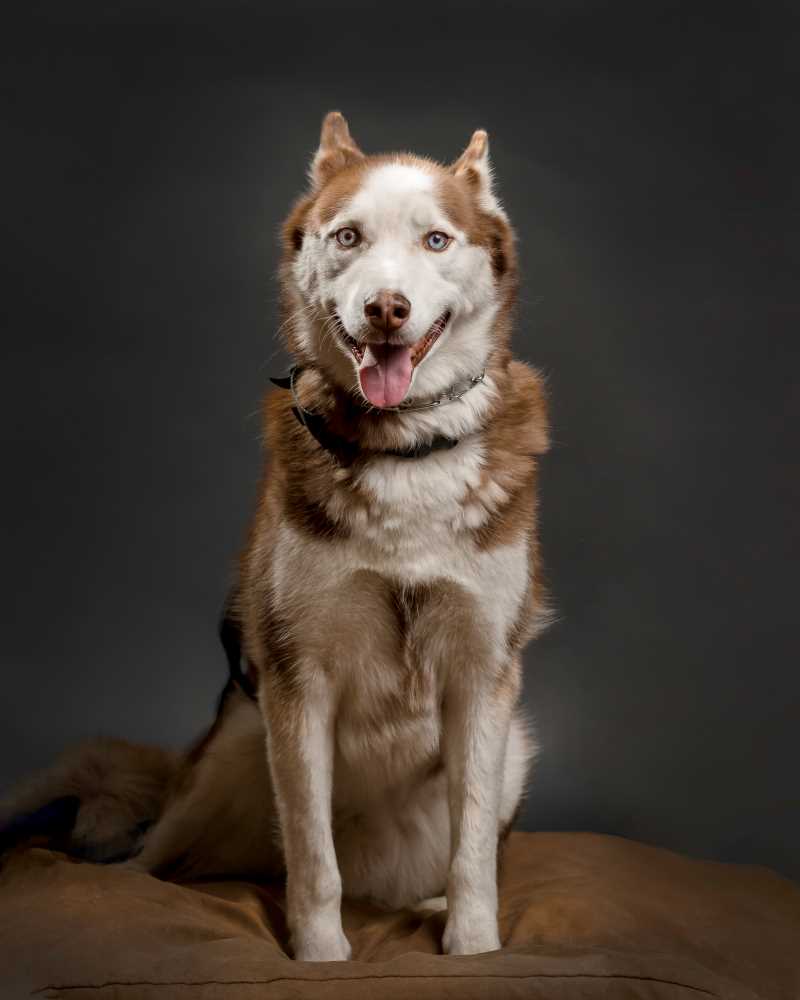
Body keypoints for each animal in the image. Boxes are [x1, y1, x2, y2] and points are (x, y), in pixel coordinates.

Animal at [0, 111, 552, 960]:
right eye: (348, 236)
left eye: (435, 240)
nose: (385, 308)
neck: (404, 450)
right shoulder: (299, 680)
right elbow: (312, 856)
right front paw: (320, 956)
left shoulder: (482, 675)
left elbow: (473, 855)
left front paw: (473, 944)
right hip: (232, 744)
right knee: (159, 852)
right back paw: (124, 883)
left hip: (513, 752)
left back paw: (423, 899)